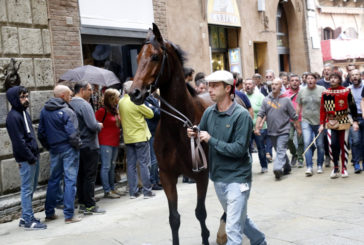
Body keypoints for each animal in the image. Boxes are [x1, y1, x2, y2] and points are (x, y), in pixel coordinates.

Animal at [129, 23, 212, 245]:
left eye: (155, 56)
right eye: (138, 57)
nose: (134, 93)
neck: (178, 129)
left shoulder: (201, 174)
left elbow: (201, 212)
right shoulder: (167, 176)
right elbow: (174, 218)